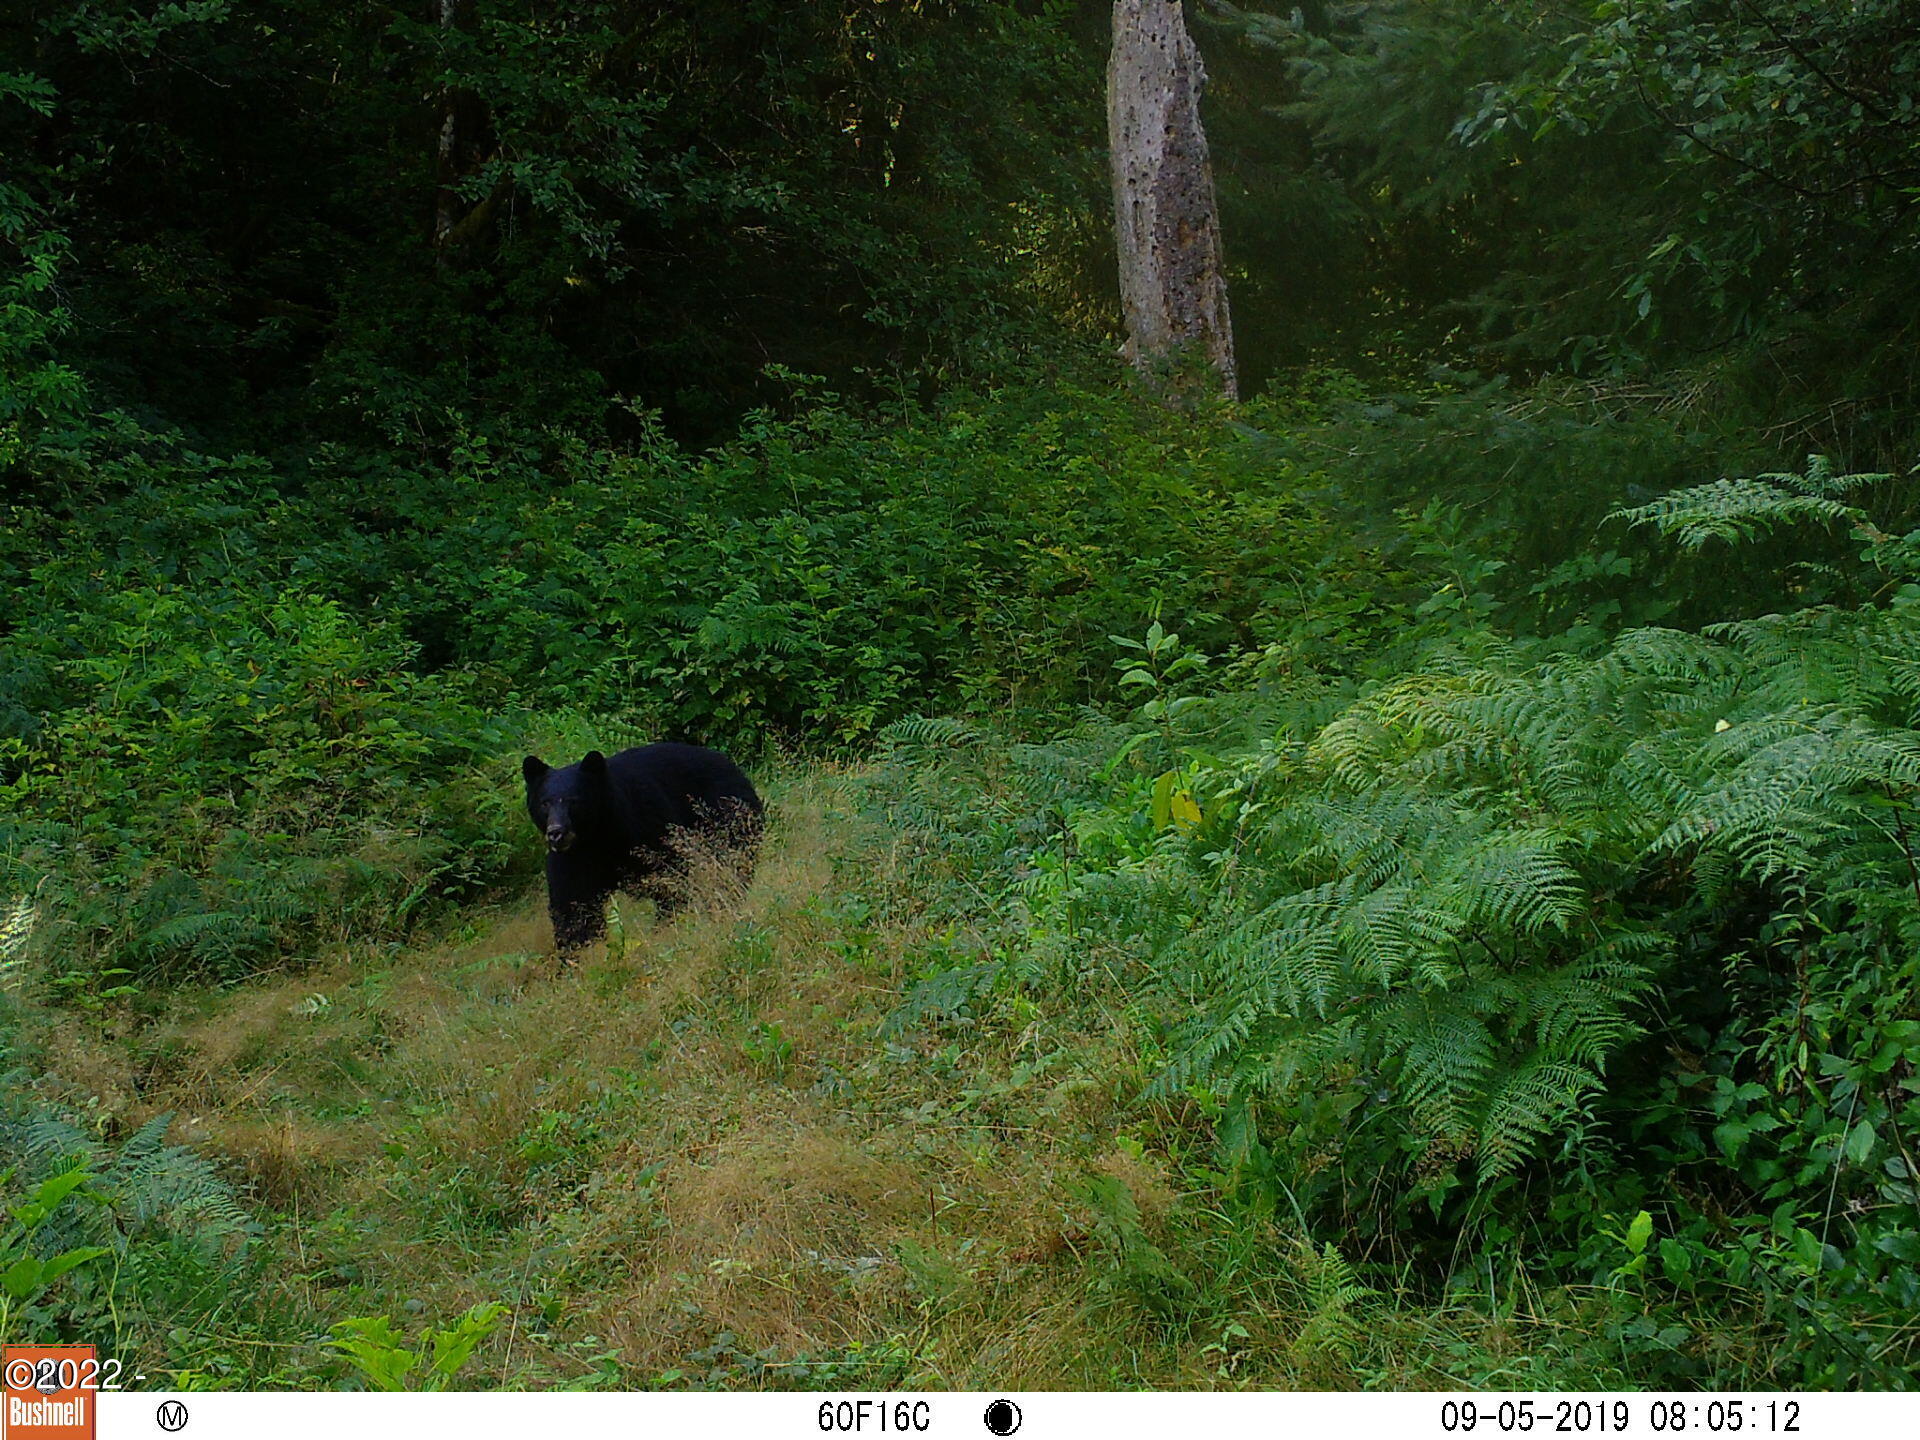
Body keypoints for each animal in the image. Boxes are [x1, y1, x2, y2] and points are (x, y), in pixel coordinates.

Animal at [522, 742, 764, 955]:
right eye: (545, 802)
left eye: (574, 800)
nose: (556, 832)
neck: (598, 836)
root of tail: (731, 764)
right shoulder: (572, 858)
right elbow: (573, 905)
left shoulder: (646, 827)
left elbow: (668, 878)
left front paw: (664, 929)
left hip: (725, 812)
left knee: (730, 864)